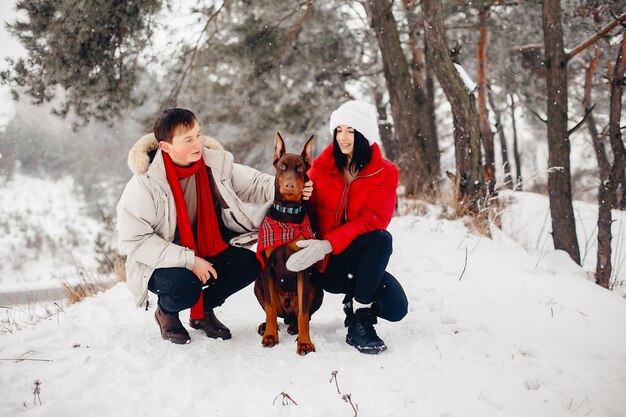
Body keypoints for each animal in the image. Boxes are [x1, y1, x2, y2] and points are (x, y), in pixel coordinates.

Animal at [254, 132, 322, 352]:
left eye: (300, 168)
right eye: (282, 166)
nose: (290, 185)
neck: (287, 215)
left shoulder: (302, 264)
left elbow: (304, 312)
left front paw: (305, 342)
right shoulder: (267, 267)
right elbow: (269, 308)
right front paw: (270, 336)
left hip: (316, 287)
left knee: (299, 315)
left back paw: (294, 327)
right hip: (257, 284)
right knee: (274, 313)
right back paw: (266, 326)